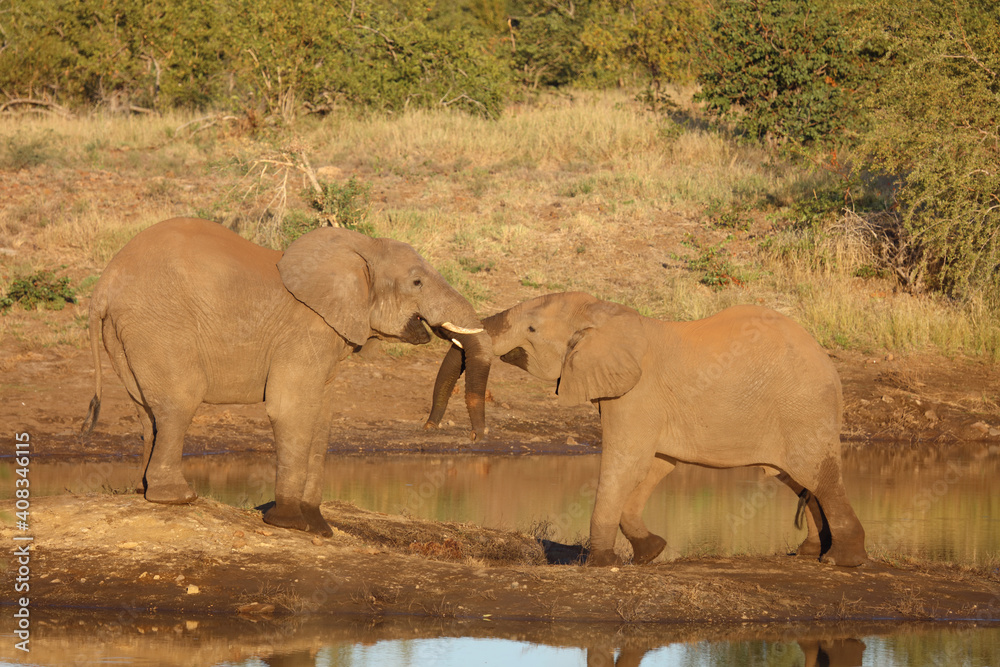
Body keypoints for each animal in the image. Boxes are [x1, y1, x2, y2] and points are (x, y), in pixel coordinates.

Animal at [81, 217, 491, 535]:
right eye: (417, 283)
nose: (473, 438)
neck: (360, 249)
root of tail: (103, 285)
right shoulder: (306, 330)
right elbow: (291, 409)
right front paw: (290, 523)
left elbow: (322, 415)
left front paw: (319, 529)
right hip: (158, 325)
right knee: (179, 401)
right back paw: (178, 498)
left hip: (125, 334)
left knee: (146, 413)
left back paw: (143, 491)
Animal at [425, 292, 867, 567]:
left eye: (531, 330)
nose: (474, 437)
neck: (603, 314)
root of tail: (829, 363)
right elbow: (653, 466)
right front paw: (649, 553)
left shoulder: (637, 394)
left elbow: (626, 461)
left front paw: (600, 564)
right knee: (795, 477)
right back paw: (809, 554)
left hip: (802, 407)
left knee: (816, 474)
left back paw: (842, 560)